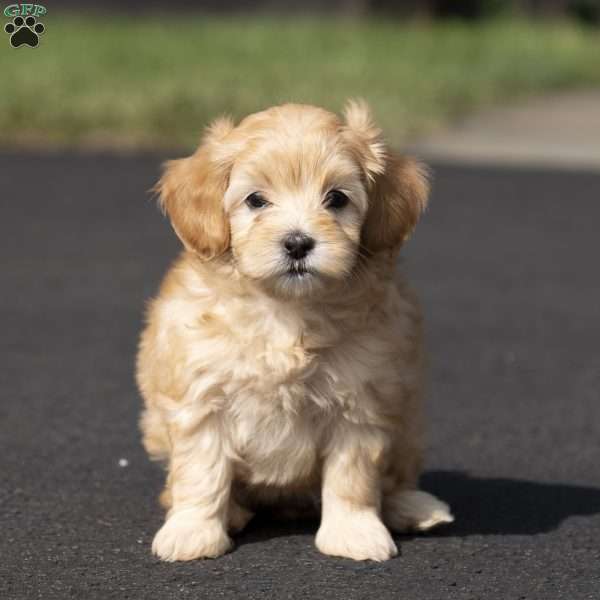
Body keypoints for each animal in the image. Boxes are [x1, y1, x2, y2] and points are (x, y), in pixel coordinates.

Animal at [136, 101, 452, 564]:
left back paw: (414, 507)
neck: (286, 311)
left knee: (395, 478)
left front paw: (354, 533)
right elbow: (201, 471)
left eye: (336, 198)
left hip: (407, 425)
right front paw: (192, 532)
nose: (298, 243)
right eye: (256, 200)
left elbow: (353, 477)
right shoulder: (200, 398)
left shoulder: (362, 402)